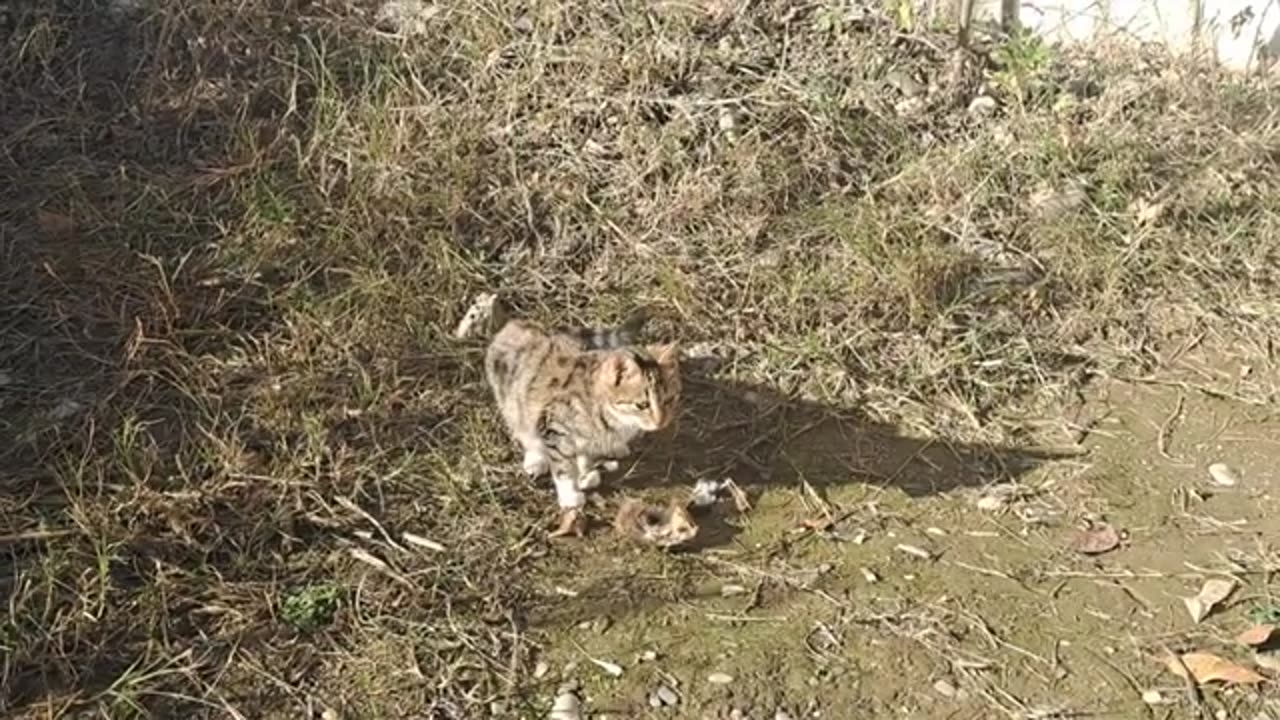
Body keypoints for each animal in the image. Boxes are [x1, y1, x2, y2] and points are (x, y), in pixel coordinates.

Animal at [483, 304, 680, 535]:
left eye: (669, 399)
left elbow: (586, 456)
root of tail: (514, 323)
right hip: (512, 402)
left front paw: (585, 473)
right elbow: (562, 466)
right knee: (523, 429)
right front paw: (570, 494)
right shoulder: (554, 426)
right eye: (642, 405)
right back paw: (535, 459)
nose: (661, 421)